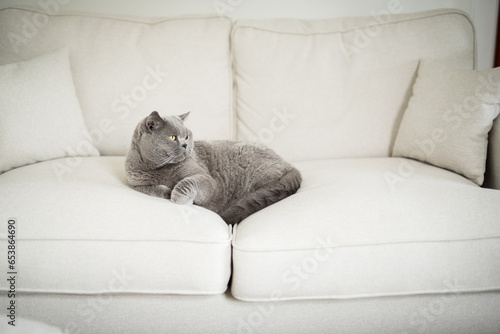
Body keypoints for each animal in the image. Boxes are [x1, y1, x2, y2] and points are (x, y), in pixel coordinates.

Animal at [127, 111, 302, 224]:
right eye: (173, 137)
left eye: (186, 137)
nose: (185, 145)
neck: (159, 169)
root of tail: (290, 166)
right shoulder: (135, 182)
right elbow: (152, 189)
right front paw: (167, 191)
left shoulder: (206, 179)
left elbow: (187, 183)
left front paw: (178, 196)